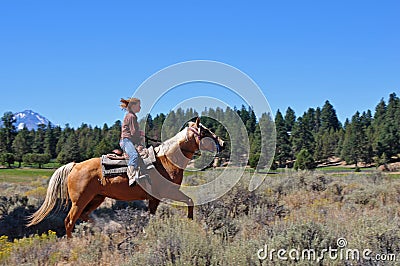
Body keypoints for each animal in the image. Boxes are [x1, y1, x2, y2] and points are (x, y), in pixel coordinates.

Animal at [26, 118, 223, 237]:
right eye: (205, 131)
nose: (221, 142)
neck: (167, 160)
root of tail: (75, 165)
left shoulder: (156, 198)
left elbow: (181, 205)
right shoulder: (166, 193)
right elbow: (189, 201)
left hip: (96, 198)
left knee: (84, 216)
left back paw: (107, 229)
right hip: (79, 200)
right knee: (69, 220)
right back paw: (71, 242)